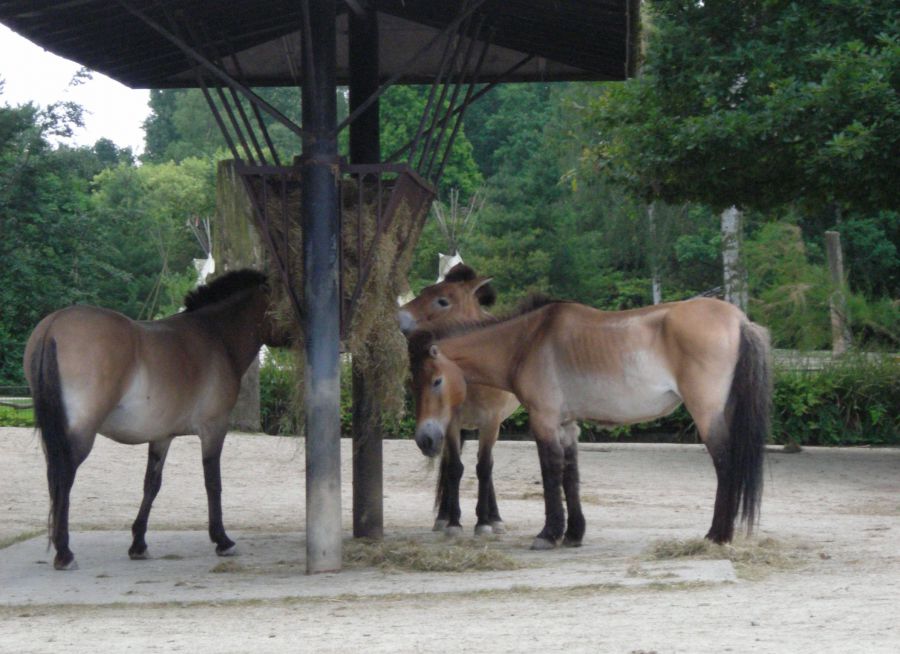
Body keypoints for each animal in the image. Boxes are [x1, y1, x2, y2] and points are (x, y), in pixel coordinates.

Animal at [25, 270, 288, 572]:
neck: (215, 335)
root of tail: (54, 325)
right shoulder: (214, 429)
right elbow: (213, 483)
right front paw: (222, 540)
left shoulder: (162, 436)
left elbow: (151, 485)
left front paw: (138, 544)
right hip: (80, 434)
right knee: (64, 477)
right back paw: (65, 553)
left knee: (53, 477)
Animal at [398, 266, 516, 540]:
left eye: (442, 301)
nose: (398, 318)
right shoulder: (451, 424)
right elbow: (454, 468)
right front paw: (453, 522)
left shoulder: (490, 423)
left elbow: (484, 468)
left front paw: (483, 522)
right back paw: (443, 516)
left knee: (487, 467)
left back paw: (495, 518)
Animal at [412, 296, 768, 548]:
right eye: (413, 384)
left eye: (436, 381)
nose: (425, 439)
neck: (527, 341)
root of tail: (738, 320)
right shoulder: (567, 425)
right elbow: (571, 475)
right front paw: (573, 534)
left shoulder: (544, 420)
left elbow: (551, 471)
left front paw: (549, 533)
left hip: (707, 415)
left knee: (725, 466)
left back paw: (717, 535)